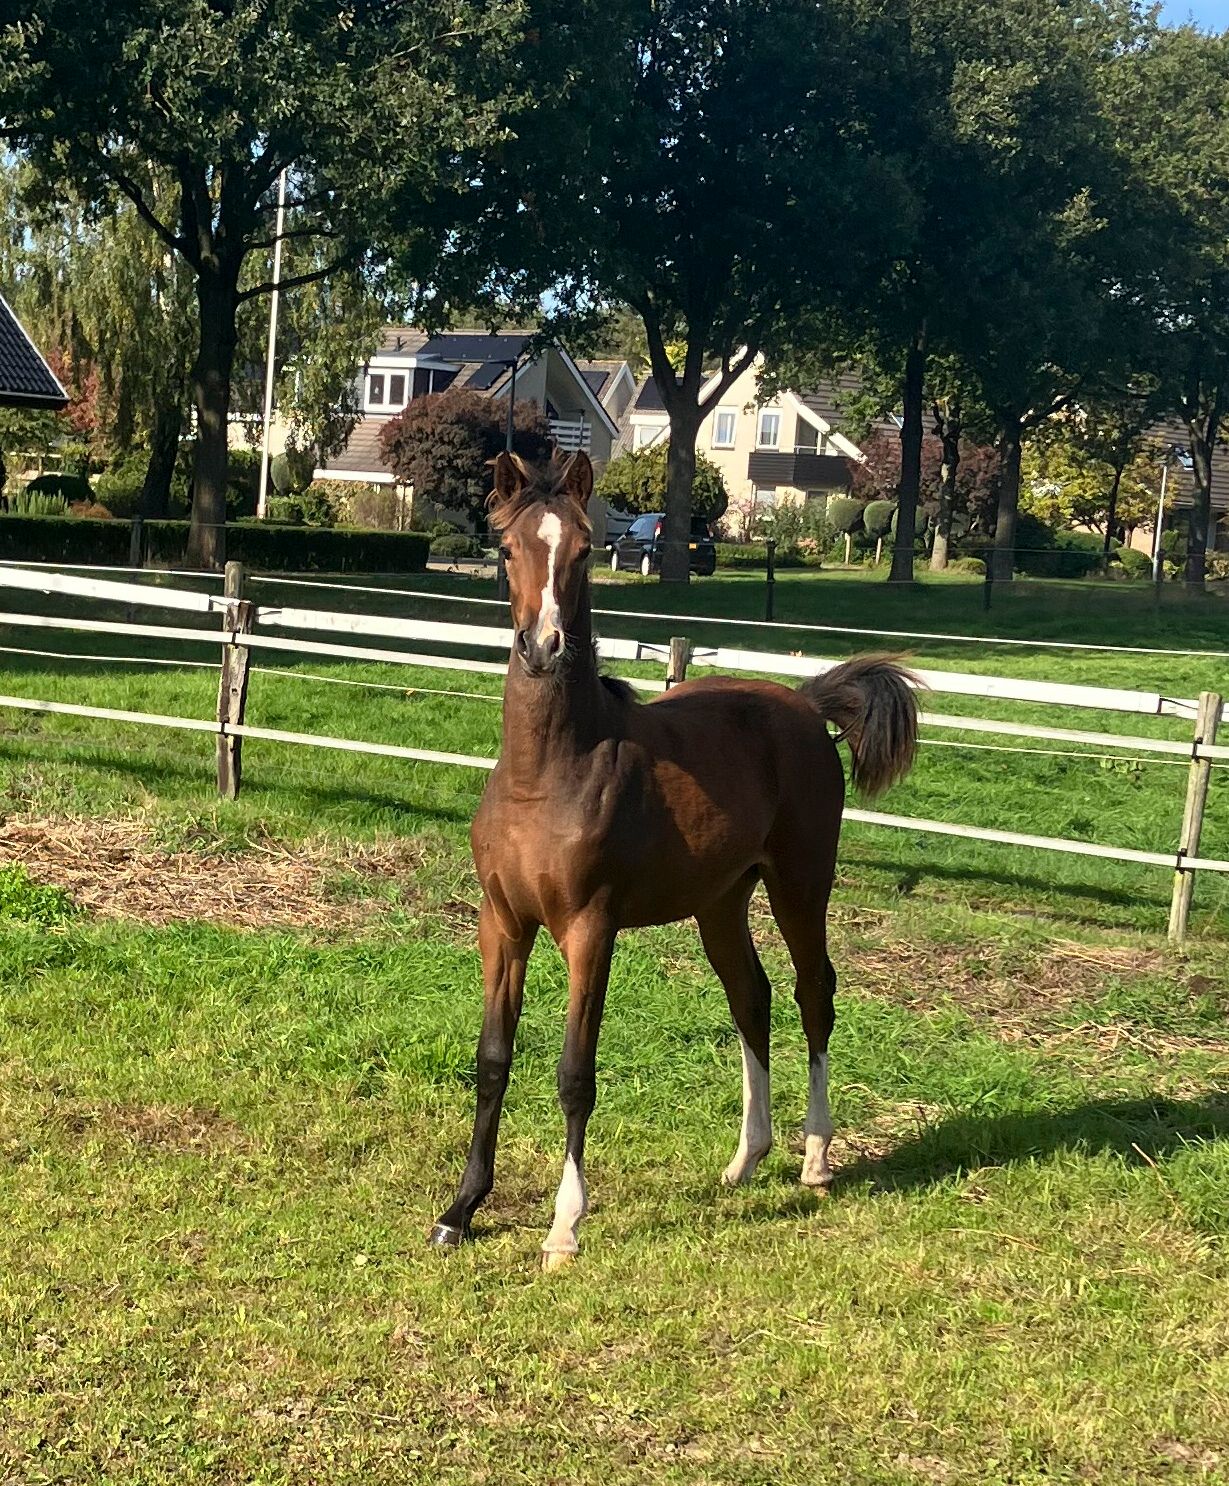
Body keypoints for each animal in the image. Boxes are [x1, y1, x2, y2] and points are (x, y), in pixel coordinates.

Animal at [428, 449, 918, 1267]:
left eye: (584, 550)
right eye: (507, 548)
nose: (543, 647)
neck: (547, 774)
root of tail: (804, 705)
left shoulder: (589, 932)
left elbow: (574, 1073)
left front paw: (563, 1227)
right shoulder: (502, 925)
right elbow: (492, 1059)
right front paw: (461, 1209)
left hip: (799, 883)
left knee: (813, 993)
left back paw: (816, 1157)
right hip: (721, 902)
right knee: (751, 998)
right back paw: (746, 1158)